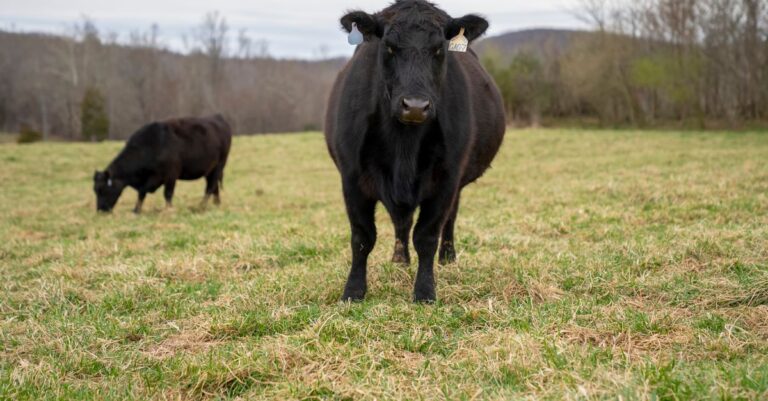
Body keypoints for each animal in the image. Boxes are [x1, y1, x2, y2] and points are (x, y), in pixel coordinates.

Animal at [93, 114, 232, 214]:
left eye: (102, 189)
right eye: (95, 189)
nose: (100, 210)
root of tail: (217, 117)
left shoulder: (171, 175)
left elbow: (167, 194)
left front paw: (168, 210)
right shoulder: (151, 179)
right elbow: (142, 193)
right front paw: (136, 210)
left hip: (219, 165)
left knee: (210, 187)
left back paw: (201, 206)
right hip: (210, 170)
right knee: (214, 187)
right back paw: (215, 204)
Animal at [325, 0, 506, 303]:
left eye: (439, 48)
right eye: (388, 46)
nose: (416, 106)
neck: (403, 146)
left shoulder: (446, 178)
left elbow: (427, 236)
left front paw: (424, 292)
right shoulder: (351, 176)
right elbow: (362, 237)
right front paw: (353, 291)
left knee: (448, 219)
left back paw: (448, 257)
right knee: (402, 222)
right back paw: (400, 258)